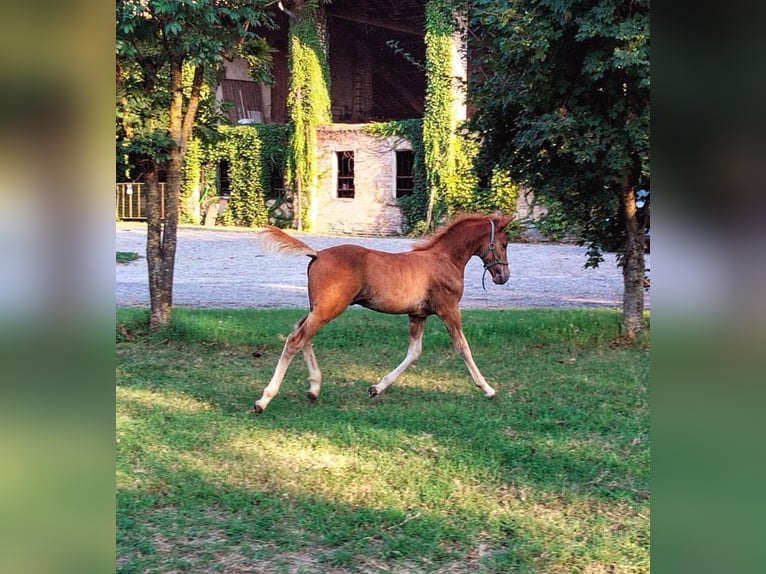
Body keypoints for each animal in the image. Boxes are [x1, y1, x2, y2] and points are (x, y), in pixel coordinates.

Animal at [254, 213, 516, 414]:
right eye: (504, 244)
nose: (503, 276)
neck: (445, 259)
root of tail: (317, 253)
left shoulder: (417, 315)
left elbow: (414, 352)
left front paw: (376, 388)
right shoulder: (448, 309)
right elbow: (463, 347)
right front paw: (488, 389)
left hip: (318, 308)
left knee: (301, 332)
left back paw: (313, 388)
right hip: (329, 308)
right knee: (296, 339)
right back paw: (264, 400)